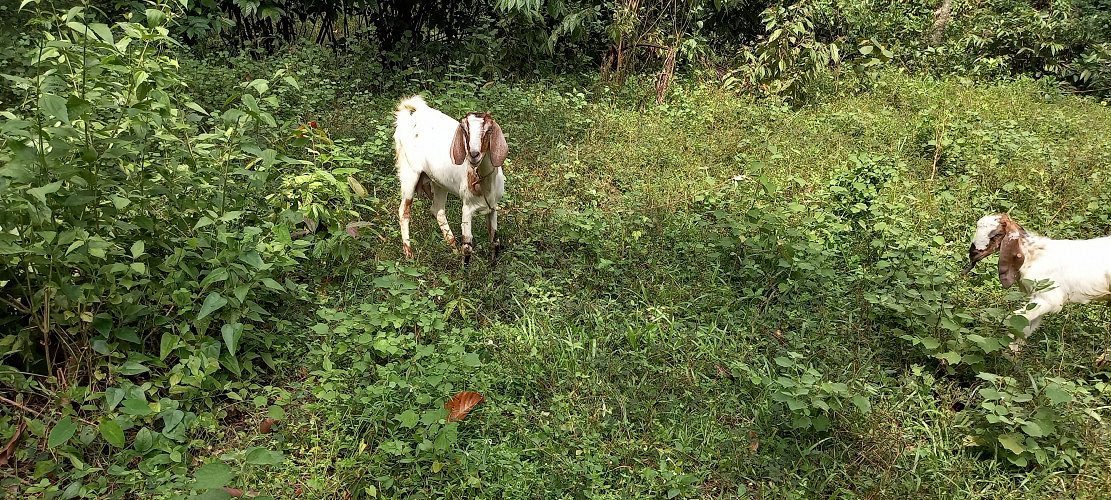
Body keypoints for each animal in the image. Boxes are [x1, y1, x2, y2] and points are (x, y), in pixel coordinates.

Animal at [393, 95, 507, 263]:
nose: (473, 154)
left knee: (437, 210)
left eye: (489, 130)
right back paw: (409, 254)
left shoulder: (493, 207)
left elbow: (495, 241)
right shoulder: (467, 207)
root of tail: (413, 113)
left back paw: (453, 248)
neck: (484, 183)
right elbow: (467, 246)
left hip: (439, 181)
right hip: (409, 171)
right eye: (465, 131)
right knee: (404, 210)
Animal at [964, 213, 1111, 349]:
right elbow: (1027, 324)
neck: (1032, 255)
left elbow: (1016, 317)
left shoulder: (1048, 298)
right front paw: (1013, 349)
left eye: (997, 234)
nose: (973, 254)